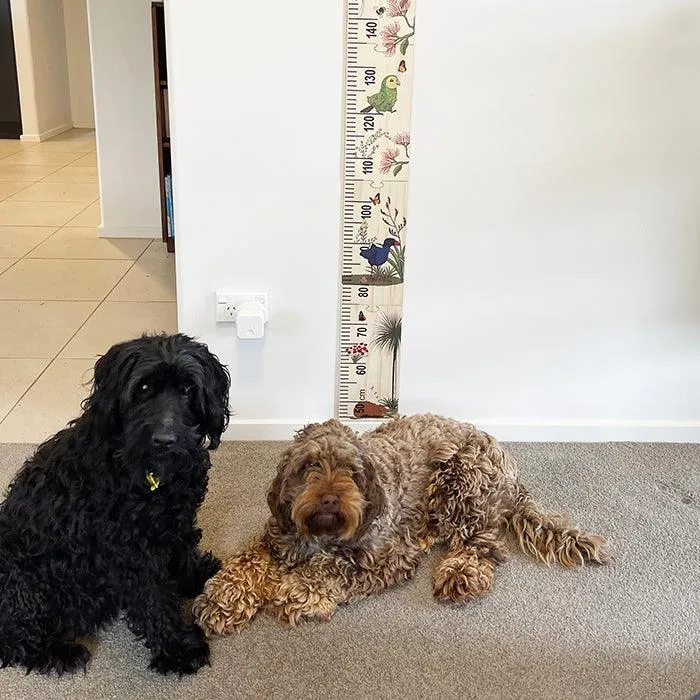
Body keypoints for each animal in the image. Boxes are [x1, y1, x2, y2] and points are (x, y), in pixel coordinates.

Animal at [0, 336, 231, 676]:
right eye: (144, 387)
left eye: (188, 389)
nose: (165, 440)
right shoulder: (130, 552)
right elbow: (153, 601)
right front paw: (177, 648)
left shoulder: (176, 519)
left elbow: (183, 549)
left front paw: (194, 576)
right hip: (23, 580)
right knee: (18, 639)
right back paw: (61, 652)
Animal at [193, 416, 612, 636]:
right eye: (309, 465)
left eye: (351, 471)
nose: (329, 499)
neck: (322, 534)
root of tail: (512, 473)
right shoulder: (279, 539)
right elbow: (246, 562)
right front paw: (223, 600)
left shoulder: (388, 555)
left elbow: (332, 567)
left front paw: (297, 591)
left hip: (461, 481)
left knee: (482, 545)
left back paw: (460, 573)